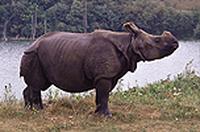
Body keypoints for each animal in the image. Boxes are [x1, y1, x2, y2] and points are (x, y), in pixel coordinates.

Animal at [19, 21, 178, 116]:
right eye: (157, 40)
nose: (176, 43)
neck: (128, 43)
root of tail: (31, 44)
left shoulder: (108, 75)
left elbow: (101, 95)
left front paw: (97, 114)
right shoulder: (104, 75)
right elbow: (104, 95)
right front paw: (107, 116)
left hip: (38, 55)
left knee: (36, 84)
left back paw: (29, 110)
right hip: (33, 55)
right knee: (37, 84)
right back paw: (38, 111)